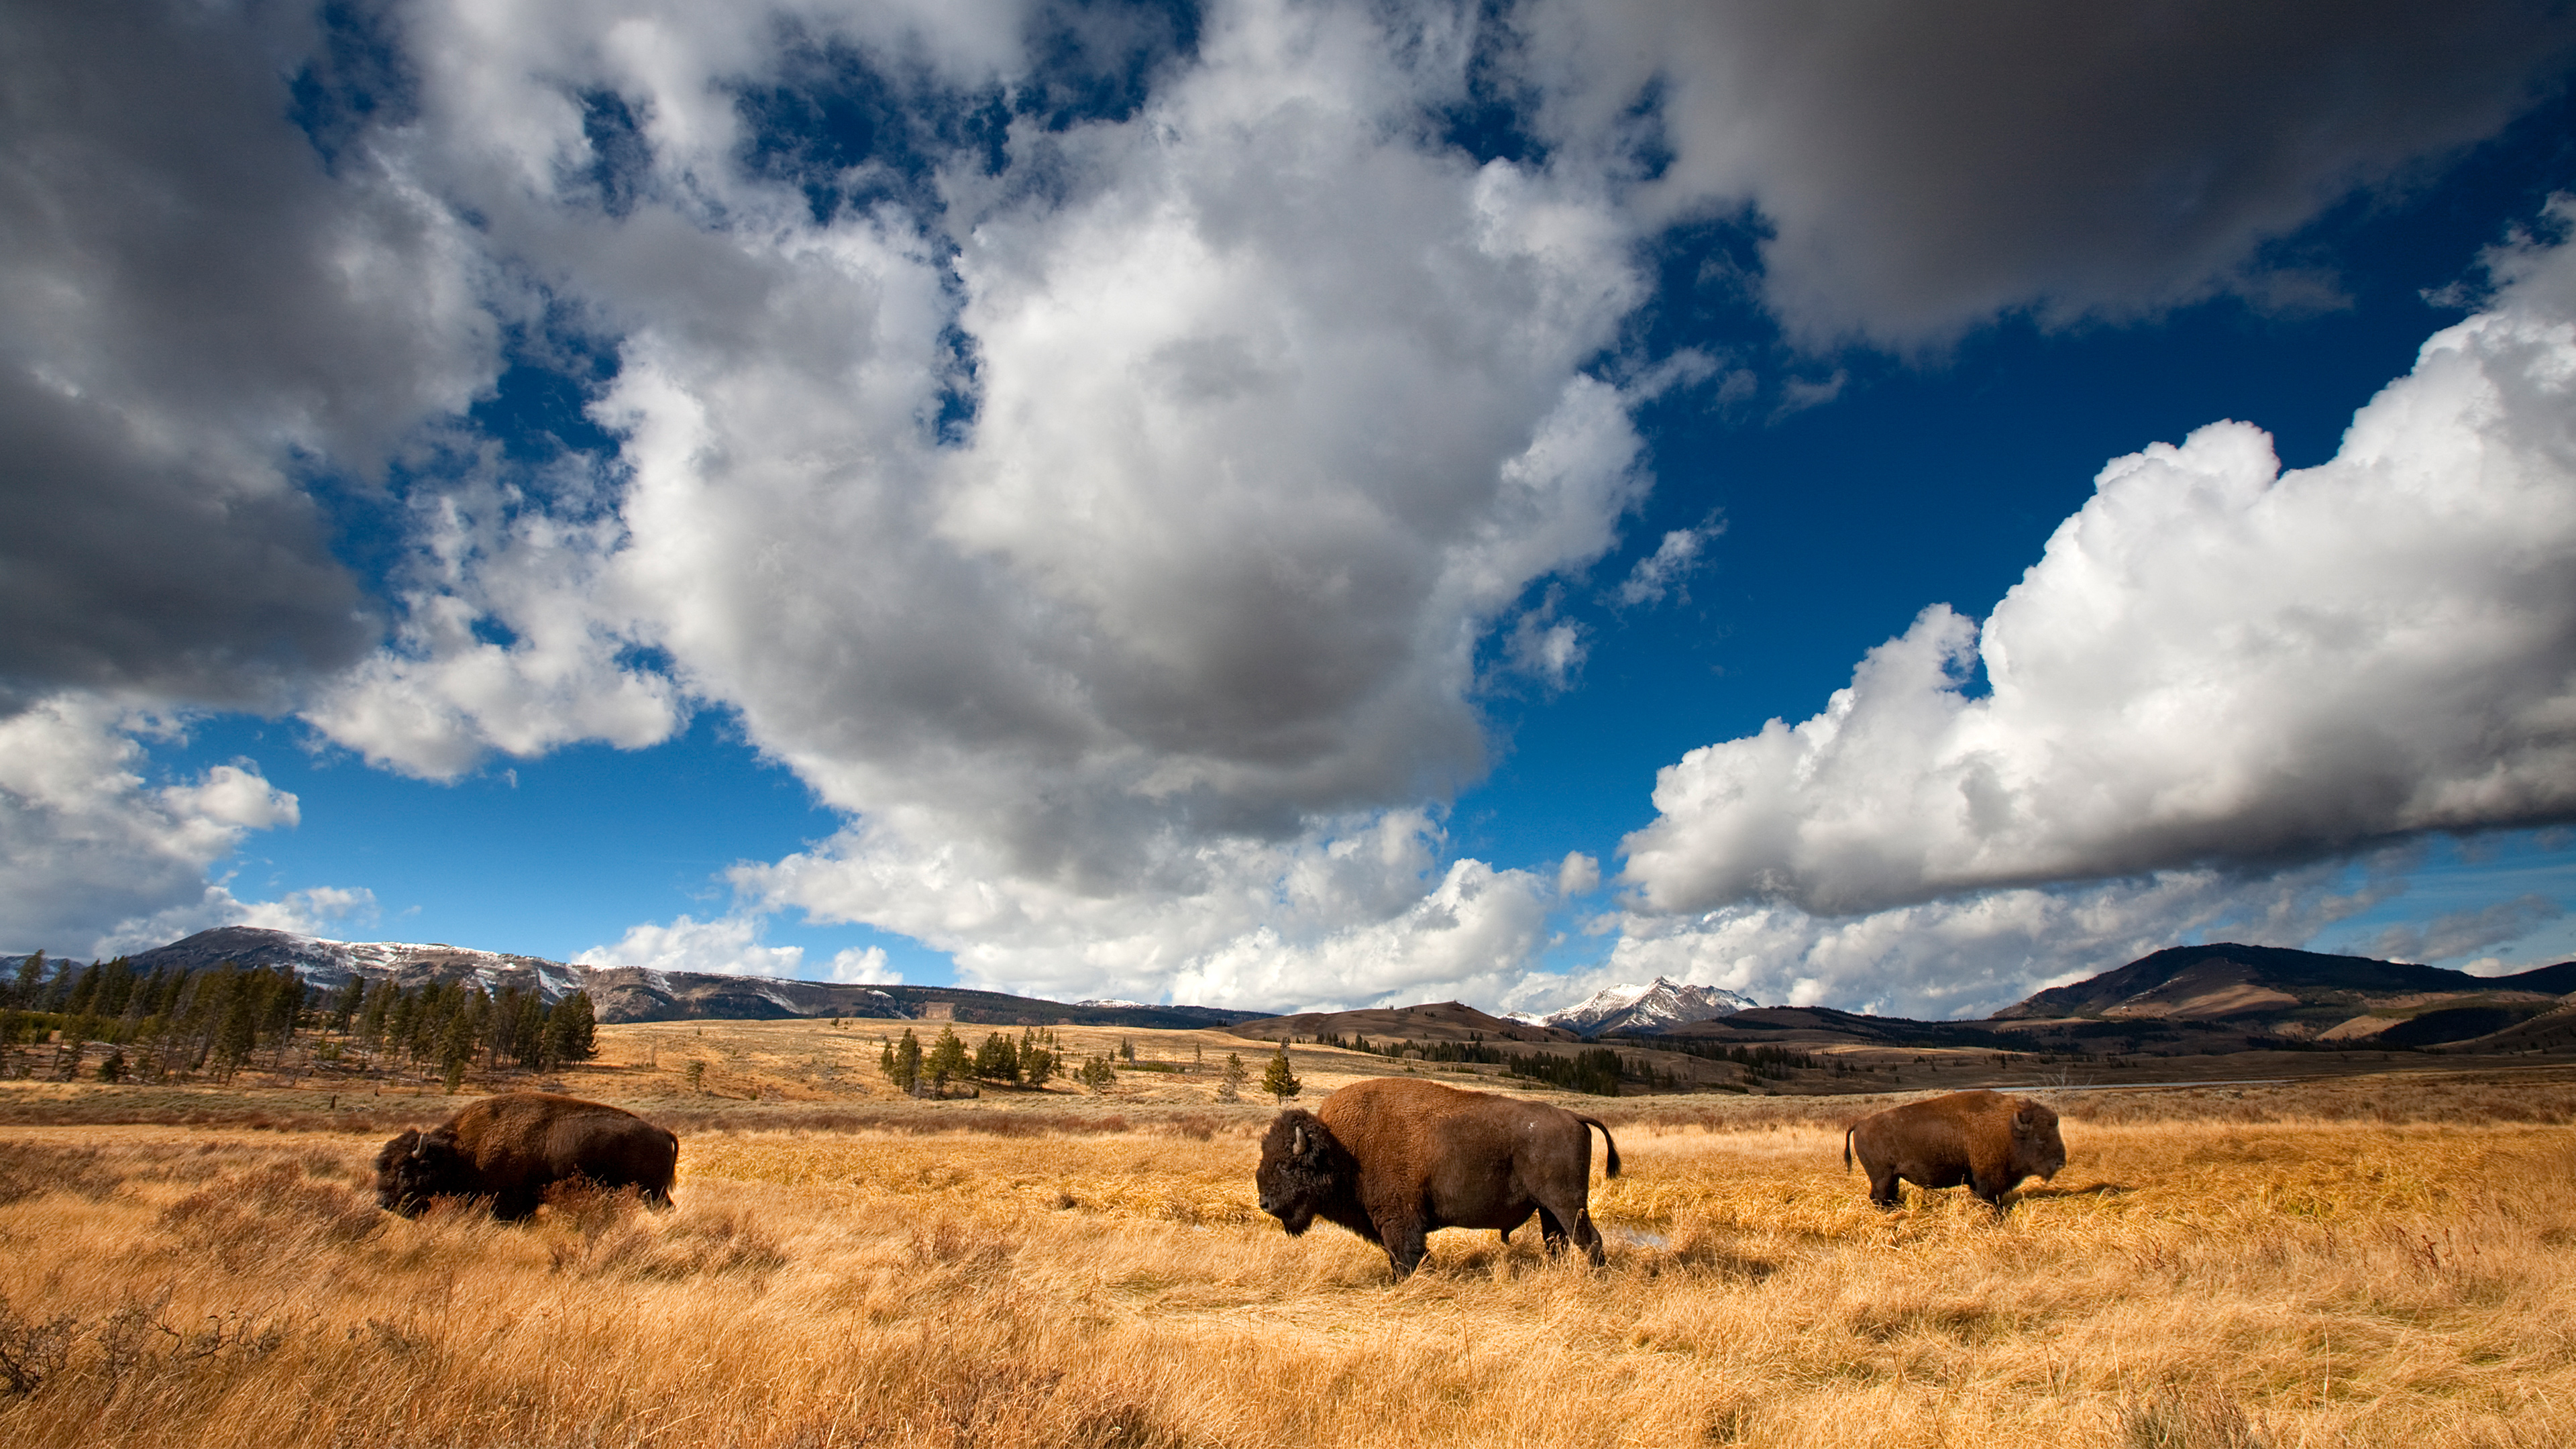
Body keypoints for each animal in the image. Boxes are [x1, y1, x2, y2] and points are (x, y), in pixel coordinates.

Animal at [373, 1087, 680, 1212]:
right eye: (382, 1167)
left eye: (404, 1171)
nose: (384, 1202)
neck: (461, 1151)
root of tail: (662, 1131)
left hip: (651, 1192)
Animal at [1256, 1067, 1617, 1268]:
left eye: (1287, 1166)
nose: (1265, 1203)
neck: (1342, 1148)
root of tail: (1573, 1116)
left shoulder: (1399, 1221)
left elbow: (1406, 1256)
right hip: (1548, 1208)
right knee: (1557, 1242)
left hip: (1567, 1204)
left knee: (1589, 1240)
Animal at [1844, 1083, 2061, 1206]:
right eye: (2039, 1137)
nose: (2060, 1162)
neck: (2009, 1127)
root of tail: (1860, 1124)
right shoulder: (1987, 1180)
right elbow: (1989, 1198)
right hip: (1882, 1177)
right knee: (1879, 1197)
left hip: (1890, 1178)